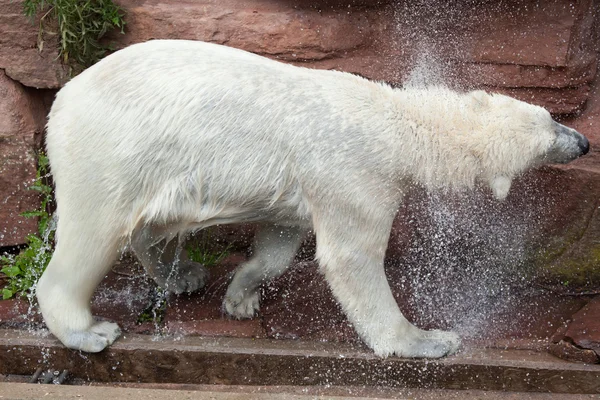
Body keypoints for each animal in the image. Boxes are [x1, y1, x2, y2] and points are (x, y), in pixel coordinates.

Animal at [37, 39, 592, 356]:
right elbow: (350, 259)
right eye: (552, 132)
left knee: (147, 226)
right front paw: (429, 340)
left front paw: (241, 296)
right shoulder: (355, 175)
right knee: (93, 234)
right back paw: (89, 331)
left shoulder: (309, 187)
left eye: (550, 117)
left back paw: (184, 275)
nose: (584, 142)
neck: (396, 120)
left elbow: (280, 241)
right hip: (110, 150)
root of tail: (62, 100)